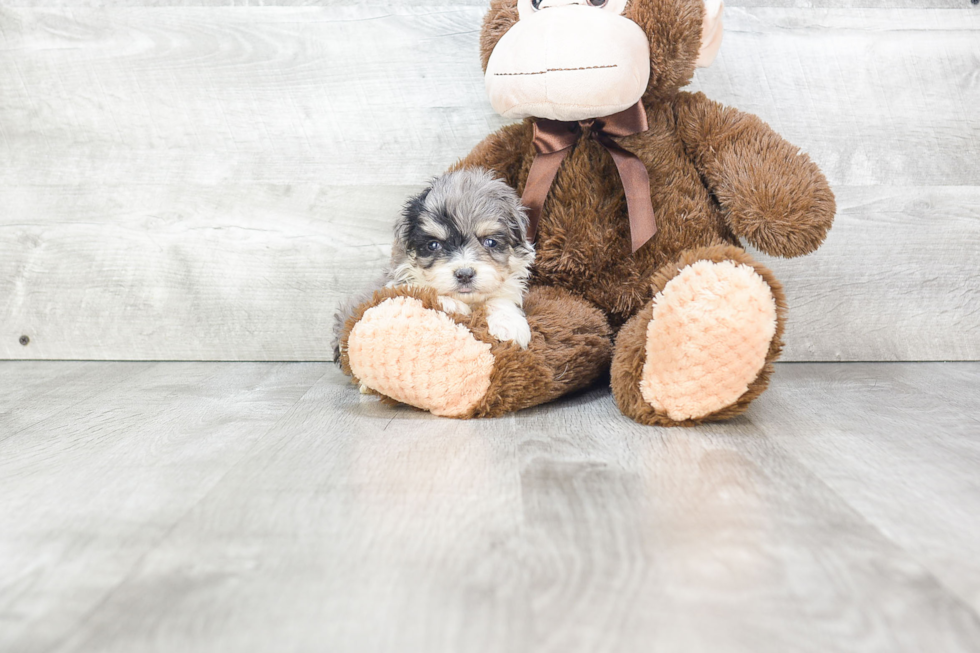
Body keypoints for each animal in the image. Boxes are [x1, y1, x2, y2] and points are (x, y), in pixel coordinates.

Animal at [334, 167, 536, 362]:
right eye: (433, 245)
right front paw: (453, 304)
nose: (464, 274)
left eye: (491, 242)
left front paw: (509, 324)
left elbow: (501, 298)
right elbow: (423, 289)